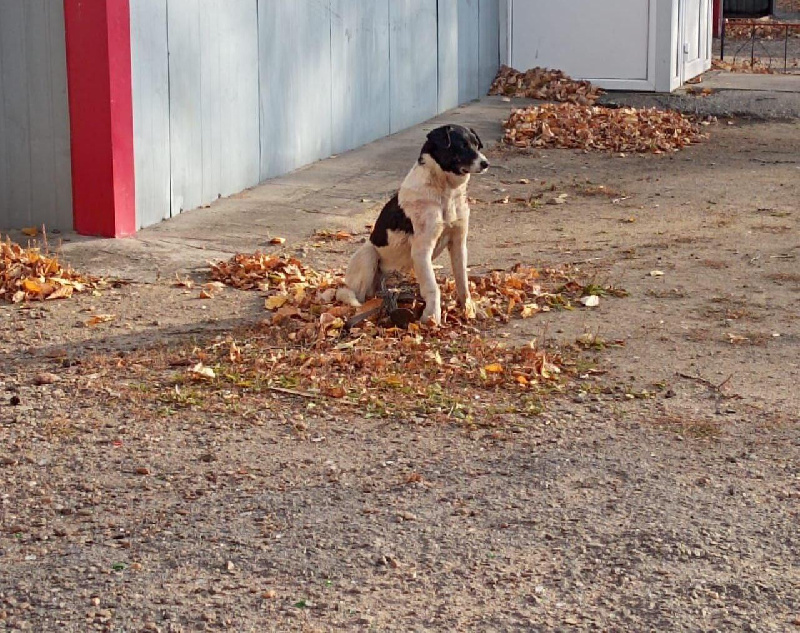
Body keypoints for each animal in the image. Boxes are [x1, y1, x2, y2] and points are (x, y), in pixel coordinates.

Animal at [336, 124, 488, 326]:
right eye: (462, 145)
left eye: (476, 145)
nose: (486, 163)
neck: (444, 190)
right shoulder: (421, 250)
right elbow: (433, 287)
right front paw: (432, 317)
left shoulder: (458, 244)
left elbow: (462, 282)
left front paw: (470, 309)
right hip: (368, 255)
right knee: (360, 297)